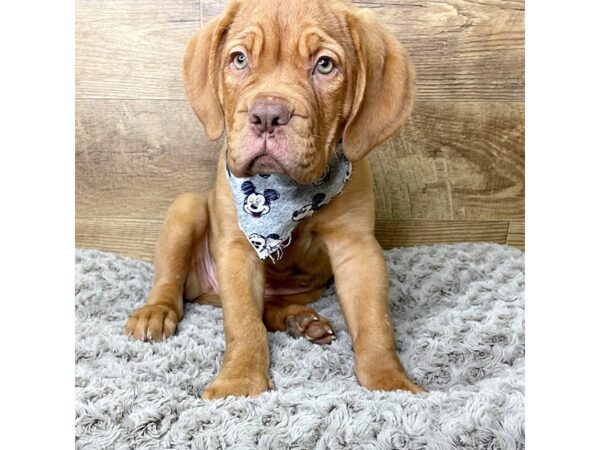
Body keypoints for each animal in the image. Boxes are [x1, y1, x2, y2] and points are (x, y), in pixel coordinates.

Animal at [124, 0, 424, 400]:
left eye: (325, 65)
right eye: (239, 59)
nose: (267, 114)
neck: (285, 192)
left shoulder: (357, 248)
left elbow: (375, 321)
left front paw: (390, 384)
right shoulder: (238, 249)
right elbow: (243, 322)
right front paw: (240, 384)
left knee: (269, 308)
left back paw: (300, 320)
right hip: (186, 210)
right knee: (171, 280)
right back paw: (155, 312)